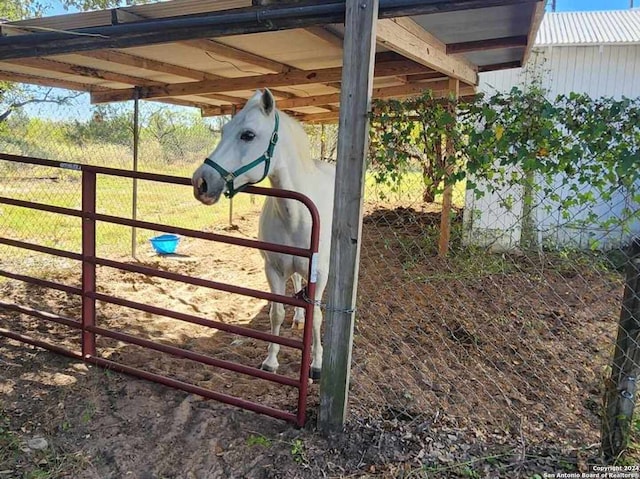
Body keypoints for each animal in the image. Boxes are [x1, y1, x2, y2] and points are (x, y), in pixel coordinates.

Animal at [191, 87, 336, 378]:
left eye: (248, 134)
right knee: (297, 284)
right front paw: (271, 361)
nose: (200, 182)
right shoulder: (274, 269)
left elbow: (317, 317)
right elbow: (276, 314)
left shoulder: (319, 274)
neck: (297, 216)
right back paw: (298, 319)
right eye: (224, 131)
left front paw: (316, 365)